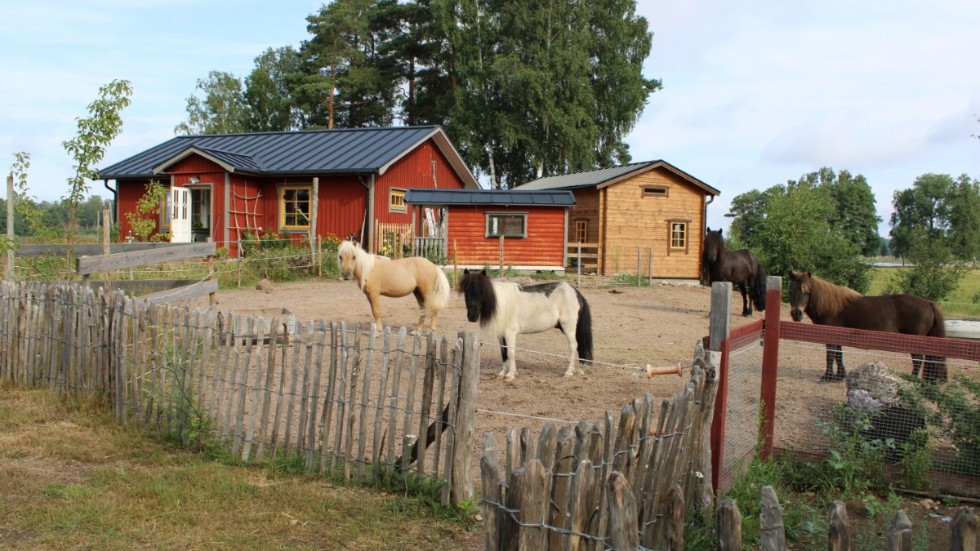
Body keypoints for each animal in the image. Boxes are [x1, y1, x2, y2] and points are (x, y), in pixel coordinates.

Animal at [458, 270, 592, 382]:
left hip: (568, 327)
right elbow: (503, 352)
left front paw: (510, 375)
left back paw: (569, 372)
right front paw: (503, 373)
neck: (503, 304)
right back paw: (579, 370)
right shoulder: (501, 335)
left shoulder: (510, 332)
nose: (472, 316)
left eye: (482, 291)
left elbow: (511, 352)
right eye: (466, 291)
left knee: (573, 346)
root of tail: (575, 292)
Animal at [784, 270, 944, 384]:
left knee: (918, 360)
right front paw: (839, 376)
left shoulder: (831, 337)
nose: (796, 314)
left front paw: (827, 376)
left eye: (807, 292)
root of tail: (928, 303)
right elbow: (838, 355)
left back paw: (912, 380)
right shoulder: (838, 336)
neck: (832, 307)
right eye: (790, 291)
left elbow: (830, 356)